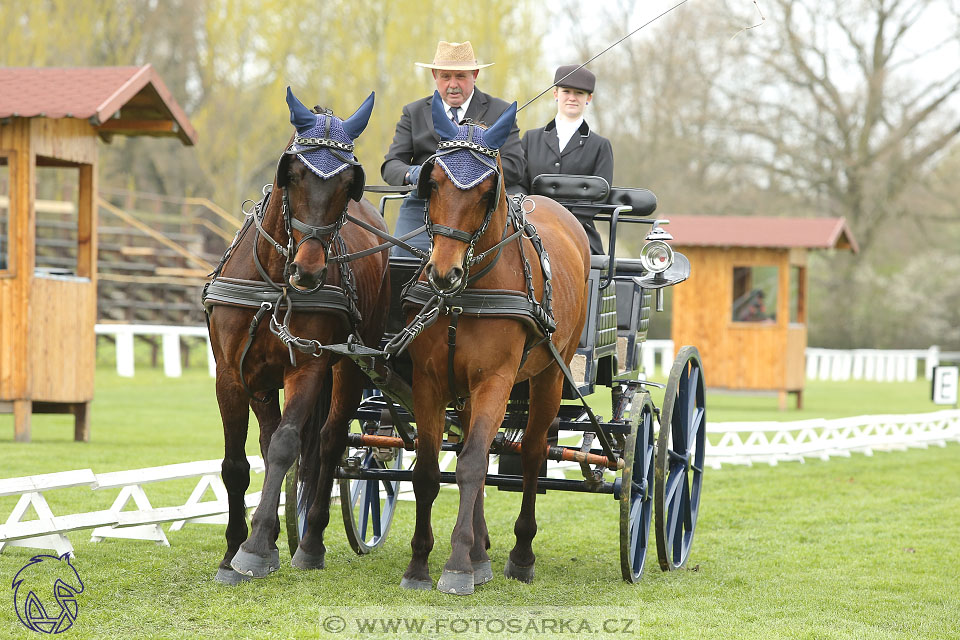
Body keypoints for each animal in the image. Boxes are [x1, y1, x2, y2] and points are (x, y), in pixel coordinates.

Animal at [205, 89, 390, 584]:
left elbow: (289, 447)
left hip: (349, 367)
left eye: (348, 183)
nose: (308, 271)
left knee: (328, 442)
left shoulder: (309, 366)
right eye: (293, 174)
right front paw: (236, 550)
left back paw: (310, 543)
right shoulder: (231, 374)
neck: (274, 280)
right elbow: (237, 464)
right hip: (262, 382)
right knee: (269, 442)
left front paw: (254, 548)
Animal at [398, 94, 592, 596]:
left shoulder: (495, 382)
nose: (443, 273)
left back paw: (520, 555)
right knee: (481, 453)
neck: (465, 294)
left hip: (549, 376)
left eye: (488, 191)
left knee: (532, 453)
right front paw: (421, 564)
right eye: (433, 182)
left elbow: (468, 466)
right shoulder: (430, 382)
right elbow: (429, 471)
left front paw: (457, 567)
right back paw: (481, 552)